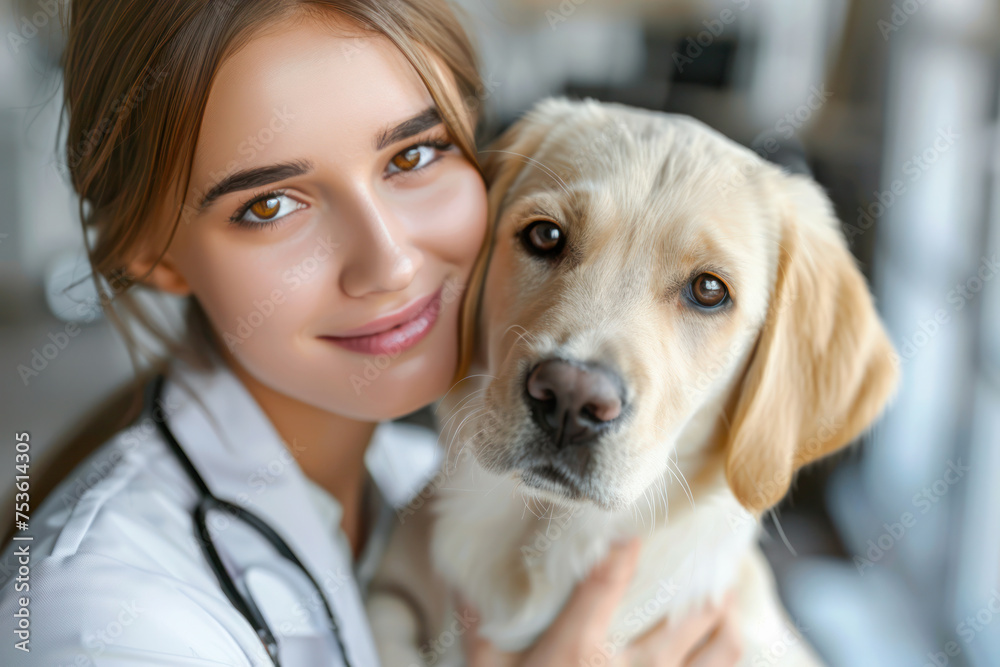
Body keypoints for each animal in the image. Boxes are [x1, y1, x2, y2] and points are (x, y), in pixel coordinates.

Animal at [368, 96, 900, 664]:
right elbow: (389, 621)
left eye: (709, 289)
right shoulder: (394, 588)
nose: (570, 398)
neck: (538, 541)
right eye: (545, 235)